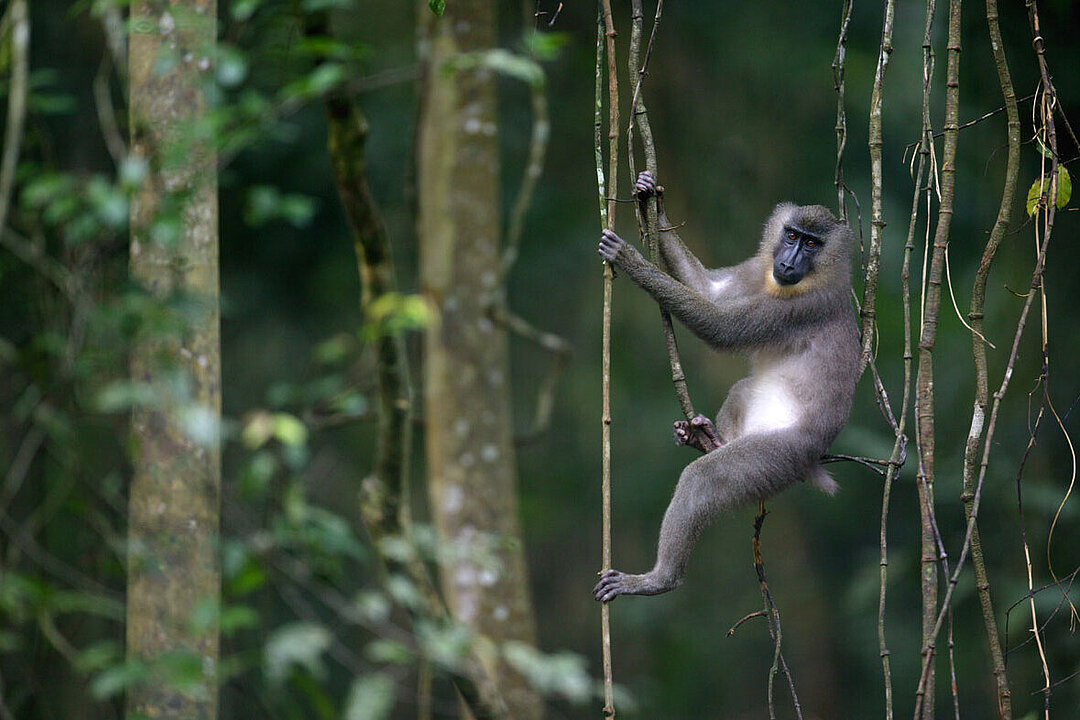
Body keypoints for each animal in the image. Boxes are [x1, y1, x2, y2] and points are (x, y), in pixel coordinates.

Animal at [591, 170, 859, 604]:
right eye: (791, 235)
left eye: (812, 244)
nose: (789, 261)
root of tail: (814, 461)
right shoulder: (759, 270)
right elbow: (709, 291)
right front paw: (651, 196)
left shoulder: (804, 307)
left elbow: (722, 327)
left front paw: (632, 260)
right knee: (742, 391)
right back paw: (709, 438)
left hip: (779, 455)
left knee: (706, 478)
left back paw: (659, 579)